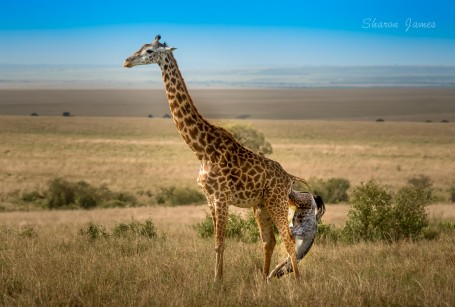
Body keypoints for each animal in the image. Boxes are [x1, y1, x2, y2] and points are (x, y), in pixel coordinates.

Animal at [124, 35, 310, 282]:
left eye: (150, 51)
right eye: (141, 46)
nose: (126, 61)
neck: (201, 149)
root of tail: (289, 177)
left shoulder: (221, 197)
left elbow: (220, 243)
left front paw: (217, 282)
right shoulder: (210, 198)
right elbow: (216, 243)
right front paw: (217, 279)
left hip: (276, 201)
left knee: (288, 239)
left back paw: (297, 282)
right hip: (260, 206)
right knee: (268, 241)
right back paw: (263, 280)